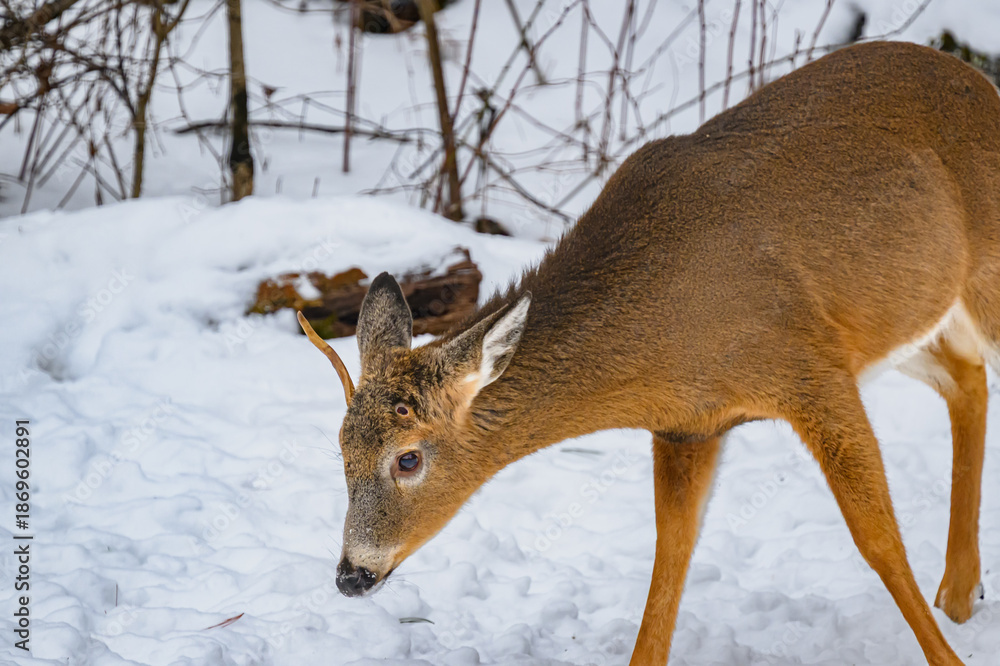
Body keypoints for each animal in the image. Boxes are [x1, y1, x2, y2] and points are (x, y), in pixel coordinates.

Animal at [296, 40, 1000, 665]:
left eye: (408, 459)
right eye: (341, 449)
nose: (351, 575)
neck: (663, 341)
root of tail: (981, 82)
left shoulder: (810, 366)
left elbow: (878, 538)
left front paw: (949, 660)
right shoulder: (689, 426)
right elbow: (672, 550)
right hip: (906, 321)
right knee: (967, 378)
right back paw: (959, 592)